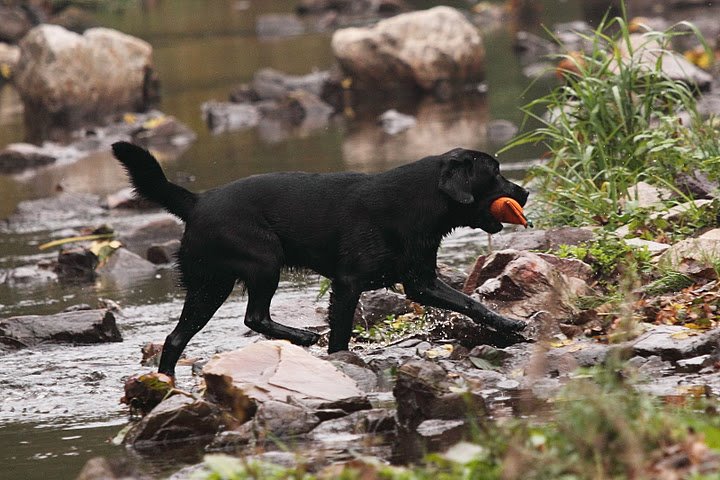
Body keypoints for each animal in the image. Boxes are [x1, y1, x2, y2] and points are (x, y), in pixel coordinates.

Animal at [111, 142, 528, 378]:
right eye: (494, 173)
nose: (524, 191)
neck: (417, 203)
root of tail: (196, 202)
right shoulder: (347, 285)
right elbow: (341, 333)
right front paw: (340, 360)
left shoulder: (421, 282)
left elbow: (471, 303)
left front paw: (508, 324)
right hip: (263, 260)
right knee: (253, 317)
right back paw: (302, 336)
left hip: (209, 285)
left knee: (176, 337)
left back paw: (166, 385)